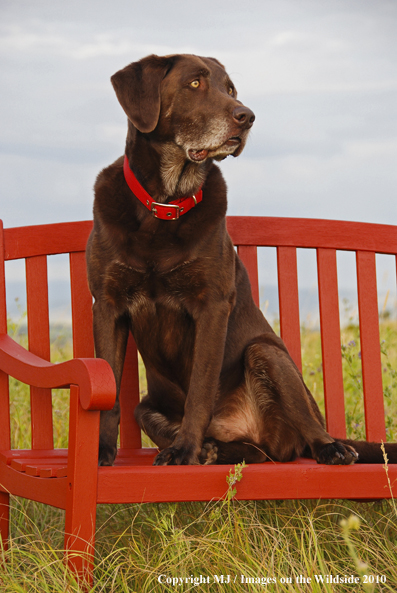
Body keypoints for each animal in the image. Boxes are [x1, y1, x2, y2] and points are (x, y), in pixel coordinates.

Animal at [86, 52, 392, 468]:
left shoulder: (212, 307)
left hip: (268, 353)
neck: (165, 205)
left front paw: (184, 450)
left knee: (311, 430)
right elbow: (110, 391)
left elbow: (201, 388)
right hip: (148, 408)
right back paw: (213, 450)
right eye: (195, 83)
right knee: (249, 451)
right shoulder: (108, 304)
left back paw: (330, 448)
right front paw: (101, 452)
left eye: (231, 89)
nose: (247, 116)